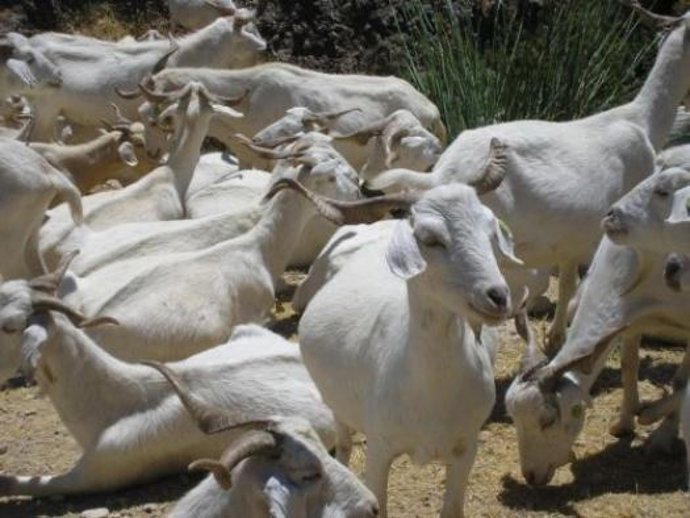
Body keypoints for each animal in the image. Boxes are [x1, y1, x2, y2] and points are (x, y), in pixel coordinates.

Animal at [297, 145, 518, 517]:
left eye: (490, 231)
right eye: (430, 238)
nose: (498, 296)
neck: (430, 393)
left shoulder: (466, 448)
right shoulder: (380, 449)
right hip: (337, 408)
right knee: (343, 445)